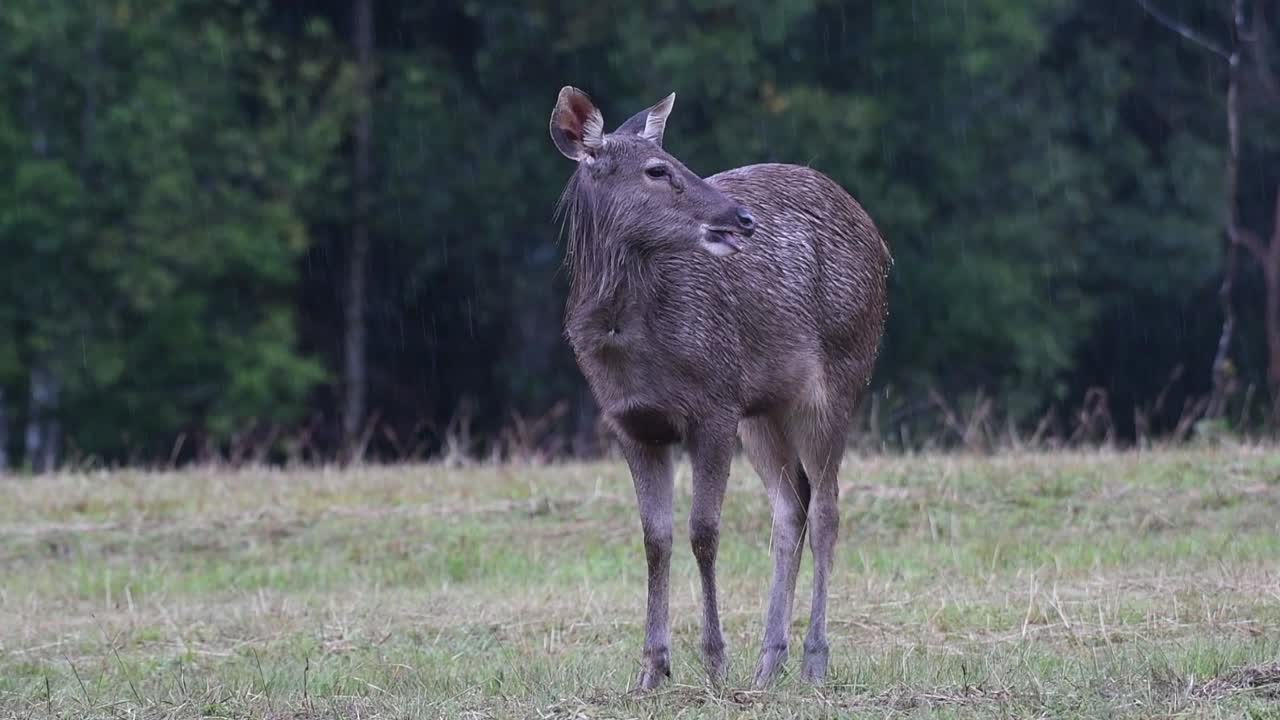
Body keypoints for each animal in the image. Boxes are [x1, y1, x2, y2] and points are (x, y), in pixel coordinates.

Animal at [549, 86, 890, 690]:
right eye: (657, 169)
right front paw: (652, 669)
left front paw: (713, 660)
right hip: (765, 410)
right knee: (791, 508)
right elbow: (655, 538)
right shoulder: (630, 422)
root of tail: (879, 241)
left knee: (827, 509)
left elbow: (703, 530)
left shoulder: (714, 403)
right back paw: (769, 662)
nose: (743, 218)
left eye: (676, 159)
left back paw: (813, 660)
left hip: (839, 375)